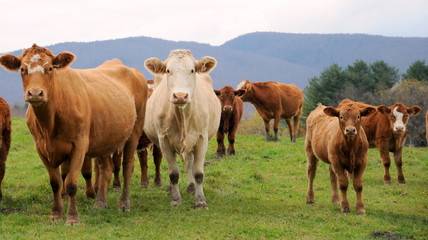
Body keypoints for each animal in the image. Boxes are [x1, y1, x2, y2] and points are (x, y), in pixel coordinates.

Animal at [0, 44, 147, 225]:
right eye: (22, 69)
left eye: (50, 68)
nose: (35, 93)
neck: (50, 124)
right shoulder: (41, 148)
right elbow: (56, 182)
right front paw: (56, 214)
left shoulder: (79, 145)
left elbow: (71, 183)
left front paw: (72, 217)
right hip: (105, 136)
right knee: (106, 168)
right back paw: (100, 202)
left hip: (135, 131)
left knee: (127, 166)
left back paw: (124, 204)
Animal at [144, 49, 221, 208]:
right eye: (168, 70)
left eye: (192, 70)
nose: (180, 96)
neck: (182, 117)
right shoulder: (164, 140)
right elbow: (173, 173)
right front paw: (175, 199)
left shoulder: (201, 139)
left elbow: (198, 172)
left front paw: (200, 201)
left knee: (190, 163)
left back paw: (191, 187)